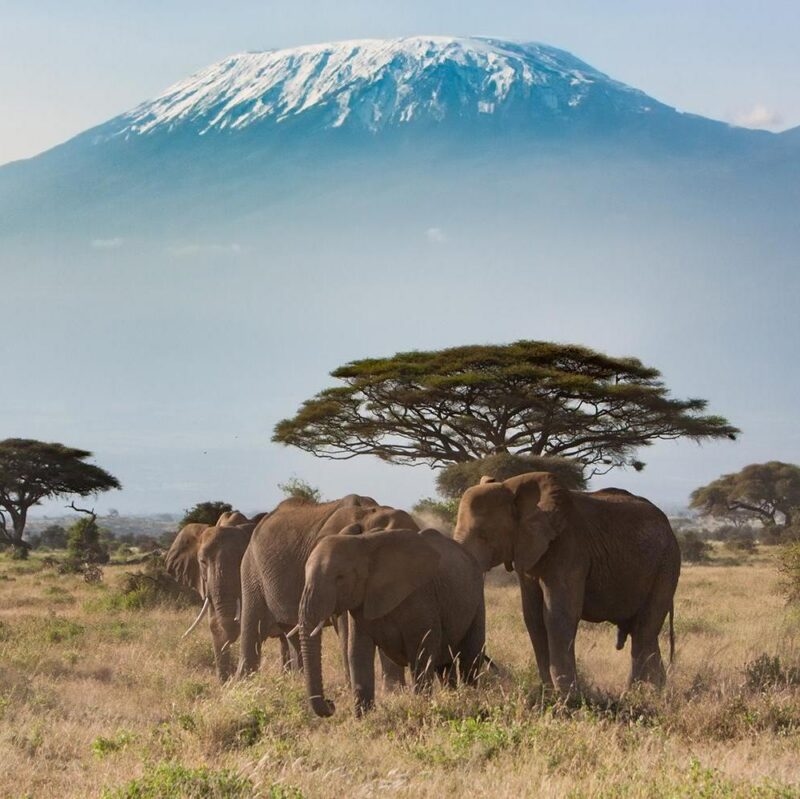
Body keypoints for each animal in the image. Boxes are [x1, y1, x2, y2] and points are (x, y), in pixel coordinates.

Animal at [236, 494, 418, 685]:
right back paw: (243, 683)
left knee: (292, 634)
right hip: (252, 570)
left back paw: (297, 681)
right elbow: (347, 629)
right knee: (253, 628)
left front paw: (395, 689)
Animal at [298, 526, 487, 717]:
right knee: (445, 667)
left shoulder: (421, 597)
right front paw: (365, 719)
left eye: (340, 577)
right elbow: (357, 652)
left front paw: (421, 707)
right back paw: (454, 698)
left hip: (477, 598)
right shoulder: (360, 603)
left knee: (469, 660)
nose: (331, 703)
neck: (363, 544)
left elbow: (422, 652)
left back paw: (471, 698)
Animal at [453, 472, 680, 694]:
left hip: (666, 566)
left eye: (483, 536)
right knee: (642, 631)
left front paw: (568, 696)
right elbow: (533, 617)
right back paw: (649, 691)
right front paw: (549, 693)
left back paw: (643, 694)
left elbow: (558, 615)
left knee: (644, 630)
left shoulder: (569, 548)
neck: (512, 486)